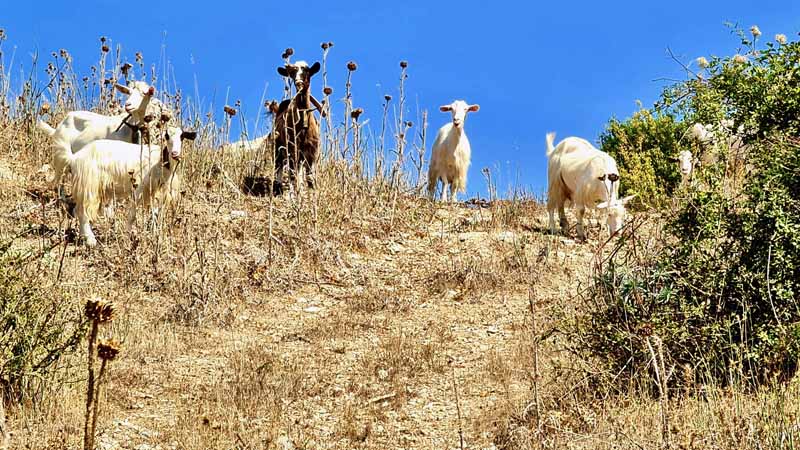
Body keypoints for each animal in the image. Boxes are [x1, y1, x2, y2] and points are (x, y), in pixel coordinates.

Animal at [66, 125, 197, 246]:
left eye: (182, 137)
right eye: (167, 136)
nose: (175, 154)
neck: (160, 162)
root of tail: (74, 158)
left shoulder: (155, 193)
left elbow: (155, 215)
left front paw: (156, 236)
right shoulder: (140, 188)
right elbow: (132, 215)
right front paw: (127, 235)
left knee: (77, 210)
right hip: (88, 185)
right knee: (82, 212)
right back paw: (90, 240)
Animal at [272, 60, 322, 193]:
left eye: (307, 71)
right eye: (292, 73)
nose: (299, 83)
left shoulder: (312, 151)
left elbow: (310, 177)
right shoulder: (292, 148)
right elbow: (293, 174)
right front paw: (294, 193)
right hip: (279, 147)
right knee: (279, 166)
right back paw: (278, 187)